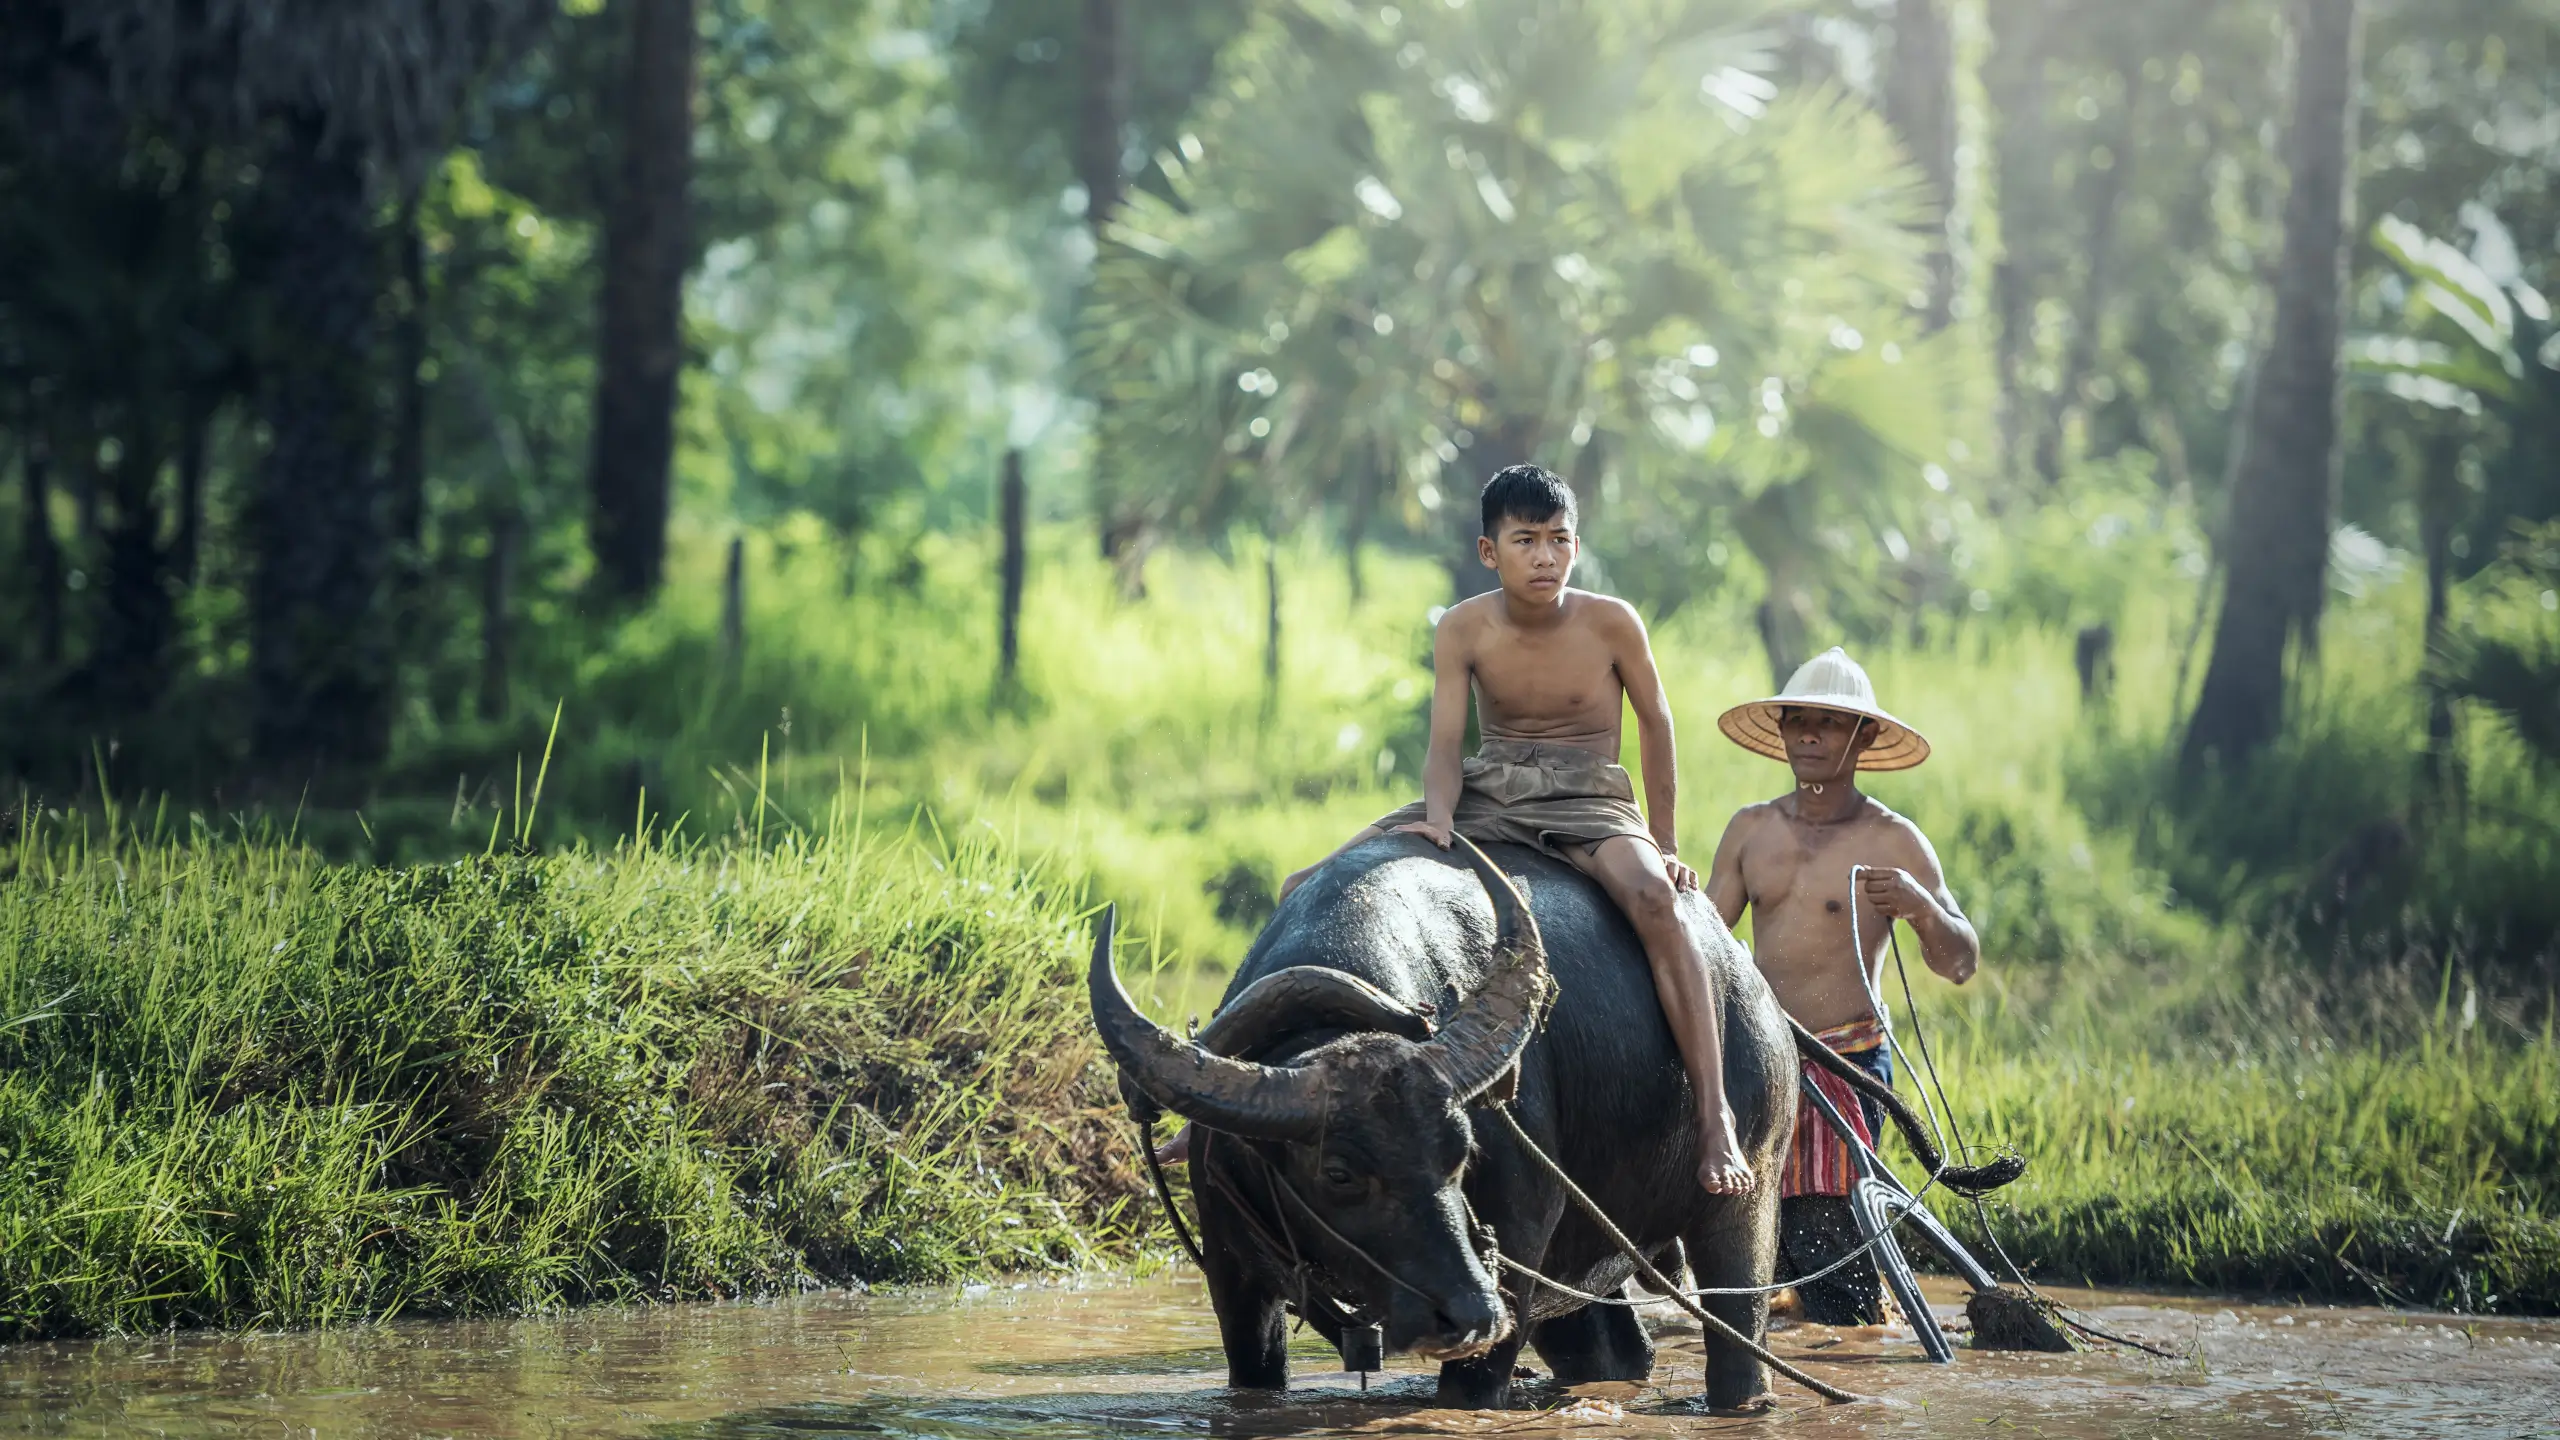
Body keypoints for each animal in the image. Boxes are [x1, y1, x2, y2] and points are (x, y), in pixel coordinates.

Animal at [1085, 830, 1955, 1404]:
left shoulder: (1518, 1249)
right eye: (1337, 1172)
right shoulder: (1235, 1280)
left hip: (1748, 1192)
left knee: (1736, 1330)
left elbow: (1474, 1385)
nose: (1468, 1312)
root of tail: (1760, 997)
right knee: (1611, 1350)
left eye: (1461, 1153)